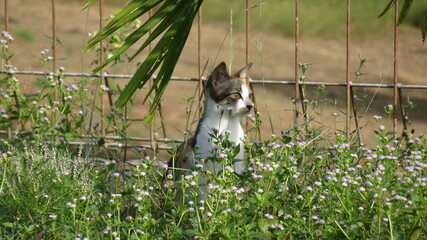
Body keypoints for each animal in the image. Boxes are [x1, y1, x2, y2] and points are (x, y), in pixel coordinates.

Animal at [166, 61, 254, 197]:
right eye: (236, 95)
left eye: (249, 95)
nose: (250, 106)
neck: (227, 123)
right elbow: (205, 191)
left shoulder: (236, 163)